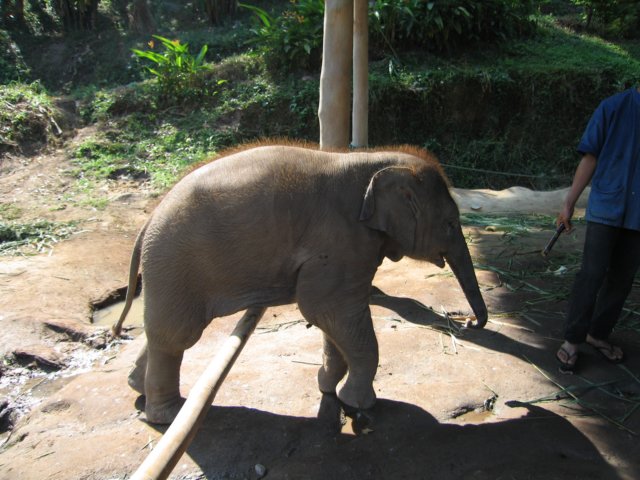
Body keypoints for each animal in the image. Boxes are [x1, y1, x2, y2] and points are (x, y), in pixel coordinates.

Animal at [113, 143, 488, 425]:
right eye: (451, 223)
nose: (469, 322)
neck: (375, 161)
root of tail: (148, 222)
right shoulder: (341, 241)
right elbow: (326, 308)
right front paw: (359, 404)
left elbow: (332, 319)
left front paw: (328, 386)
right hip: (175, 265)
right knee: (177, 336)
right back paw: (169, 415)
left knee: (163, 334)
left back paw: (137, 388)